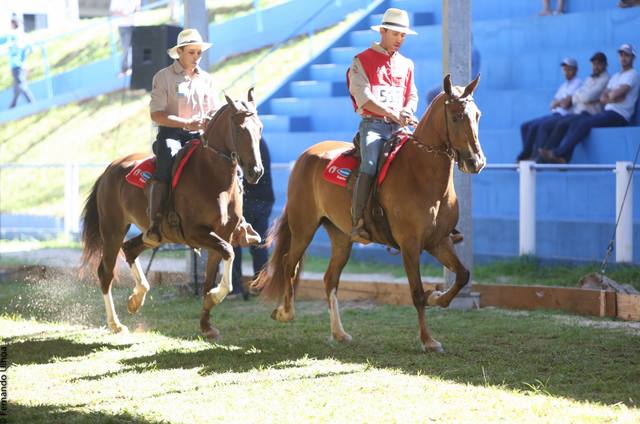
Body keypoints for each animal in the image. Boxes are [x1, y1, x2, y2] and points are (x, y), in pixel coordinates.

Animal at [82, 90, 262, 342]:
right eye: (239, 129)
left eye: (260, 128)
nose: (256, 171)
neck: (211, 176)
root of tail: (111, 168)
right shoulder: (196, 233)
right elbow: (228, 253)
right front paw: (216, 297)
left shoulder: (221, 235)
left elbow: (210, 278)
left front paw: (206, 324)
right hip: (112, 229)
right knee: (106, 272)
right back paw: (115, 323)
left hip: (155, 235)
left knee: (130, 249)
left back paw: (136, 298)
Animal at [252, 75, 482, 352]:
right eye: (457, 116)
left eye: (478, 115)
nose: (475, 162)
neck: (420, 174)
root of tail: (307, 155)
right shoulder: (410, 246)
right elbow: (416, 293)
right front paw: (428, 340)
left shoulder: (439, 241)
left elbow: (462, 275)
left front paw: (437, 297)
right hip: (303, 227)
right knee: (289, 265)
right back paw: (285, 312)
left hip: (341, 237)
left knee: (330, 279)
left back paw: (339, 333)